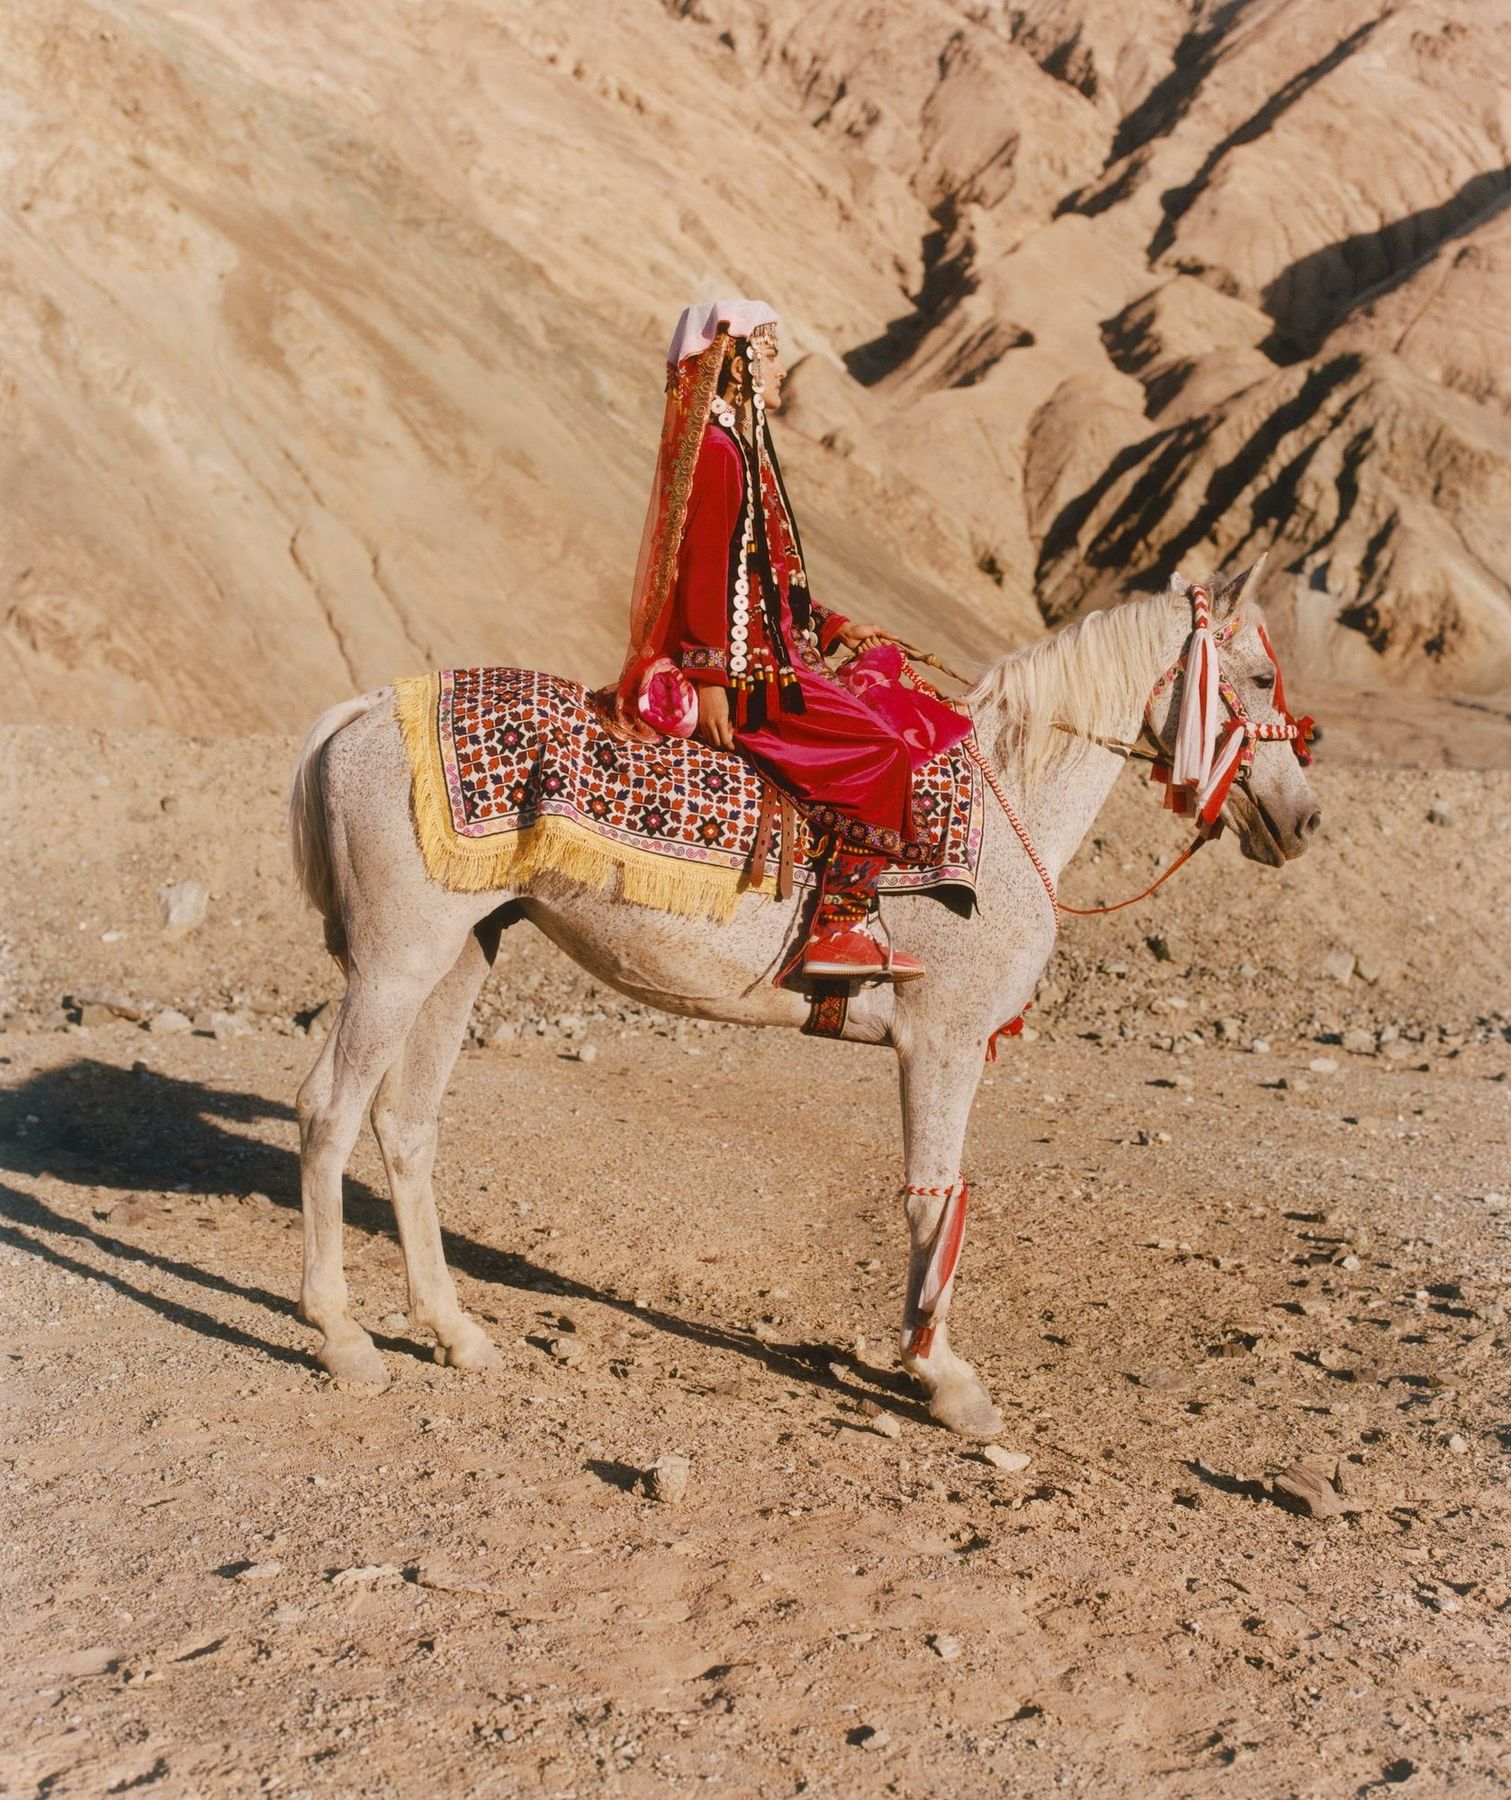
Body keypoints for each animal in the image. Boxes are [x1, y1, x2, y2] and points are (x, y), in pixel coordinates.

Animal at [288, 560, 1320, 1438]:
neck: (1011, 806)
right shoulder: (940, 1042)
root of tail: (364, 709)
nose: (1301, 821)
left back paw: (454, 1333)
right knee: (327, 1110)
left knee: (406, 1124)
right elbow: (931, 1195)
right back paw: (342, 1339)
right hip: (394, 963)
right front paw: (945, 1380)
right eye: (1262, 676)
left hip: (461, 954)